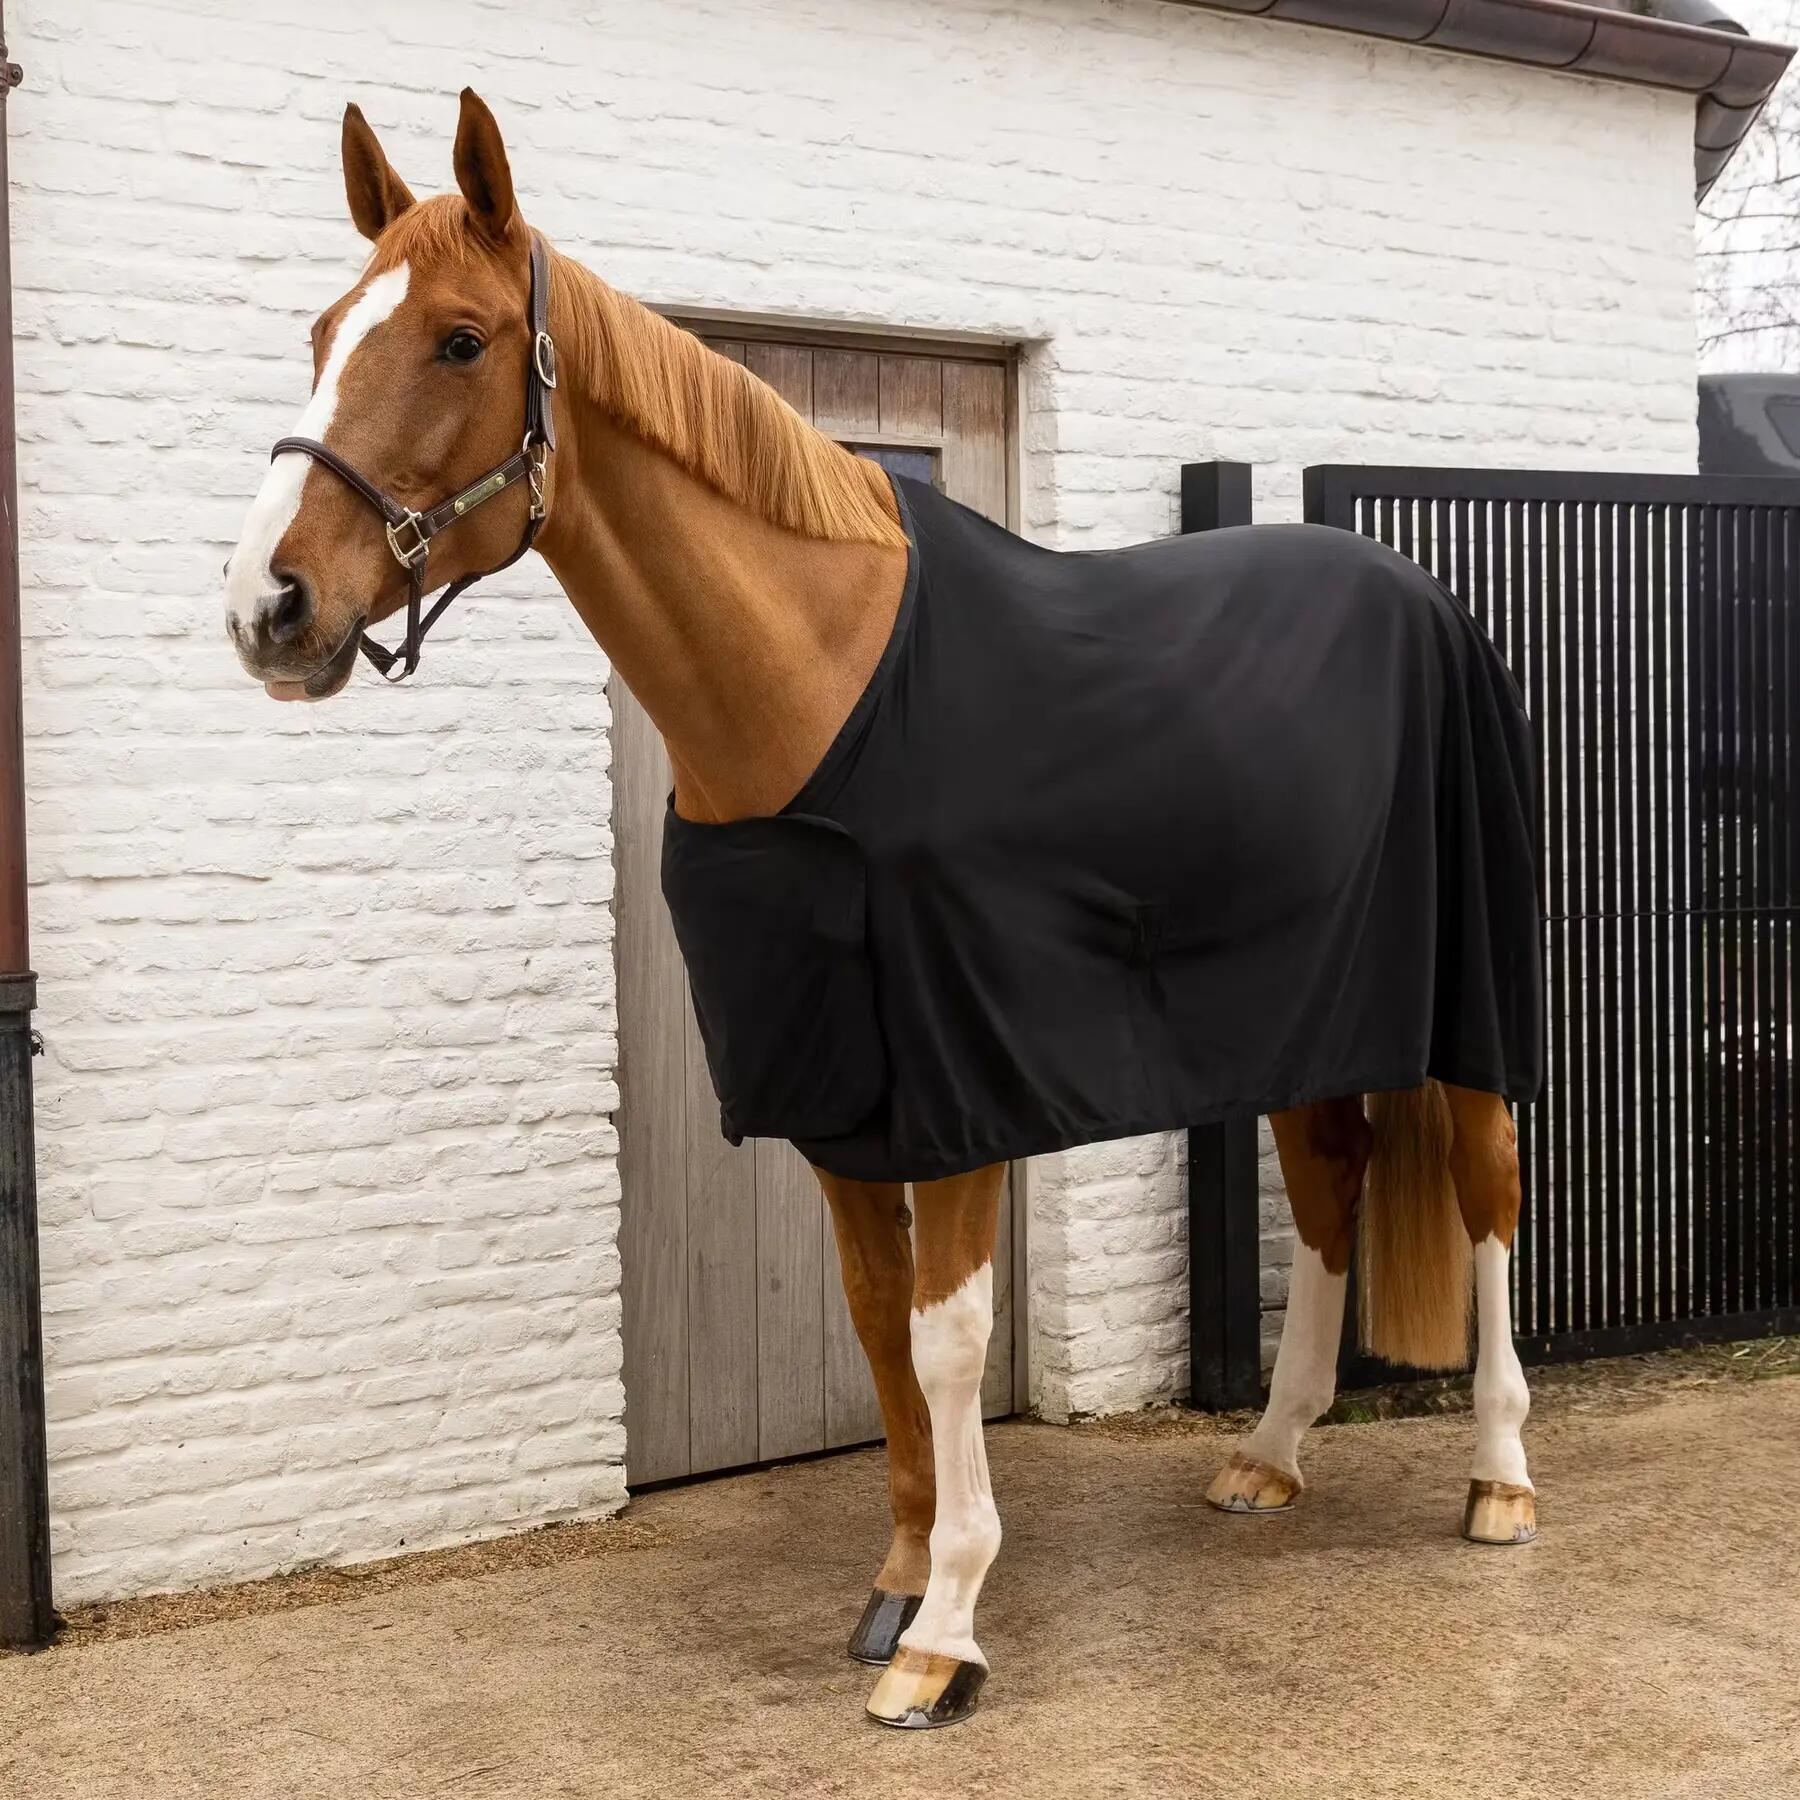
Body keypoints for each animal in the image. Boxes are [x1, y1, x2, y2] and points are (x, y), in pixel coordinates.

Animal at [222, 90, 1542, 1731]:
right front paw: (901, 1577)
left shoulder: (962, 1079)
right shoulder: (835, 1090)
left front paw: (949, 1632)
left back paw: (1499, 1479)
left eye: (460, 340)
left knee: (1488, 1196)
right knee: (1330, 1186)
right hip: (1305, 1015)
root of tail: (1426, 601)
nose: (268, 608)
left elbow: (948, 1333)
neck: (816, 692)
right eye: (323, 329)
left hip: (1467, 1004)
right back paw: (1270, 1456)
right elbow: (871, 1322)